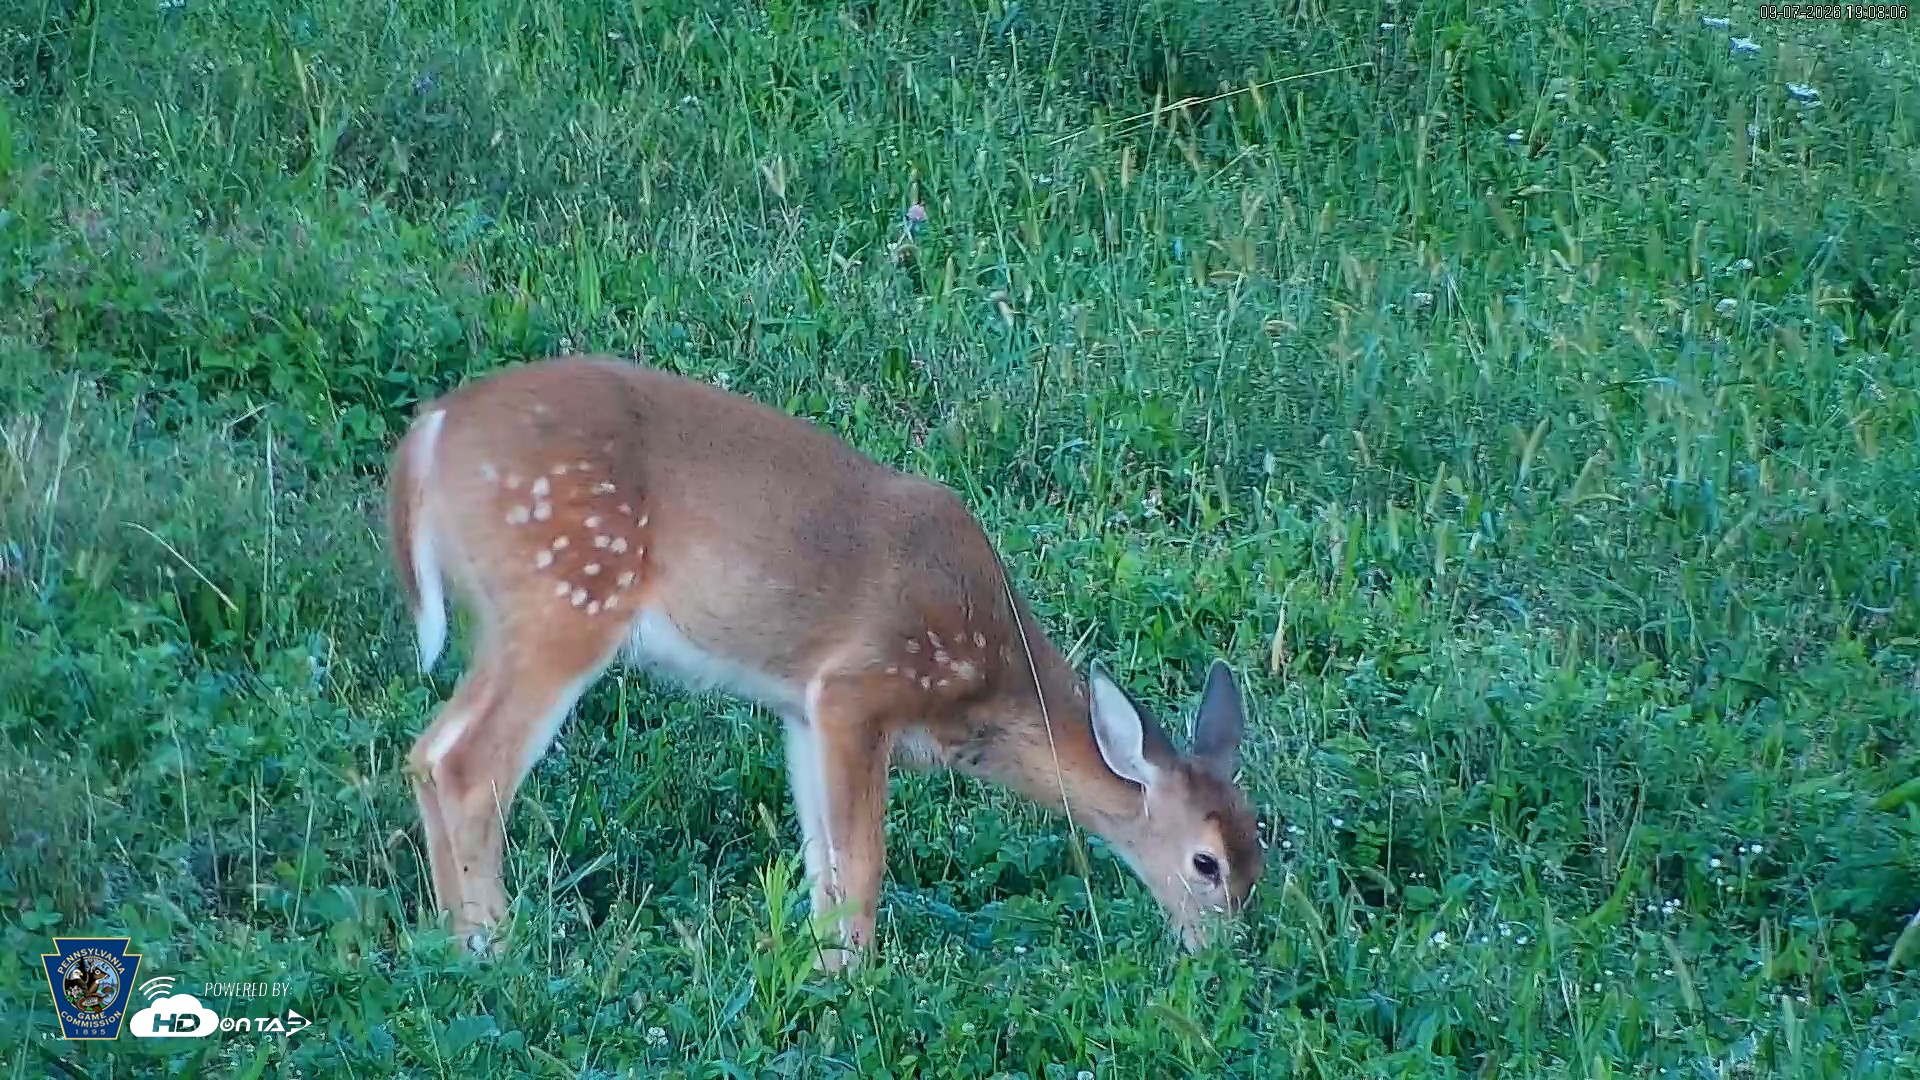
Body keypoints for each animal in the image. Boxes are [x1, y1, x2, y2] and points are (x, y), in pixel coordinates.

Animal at [385, 354, 1263, 966]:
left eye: (1261, 848)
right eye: (1207, 864)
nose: (1221, 957)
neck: (982, 683)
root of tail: (430, 436)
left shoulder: (800, 707)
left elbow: (819, 860)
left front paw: (819, 964)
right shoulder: (861, 687)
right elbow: (864, 860)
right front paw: (856, 979)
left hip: (511, 617)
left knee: (427, 751)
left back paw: (450, 939)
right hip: (566, 594)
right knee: (469, 764)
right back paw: (496, 948)